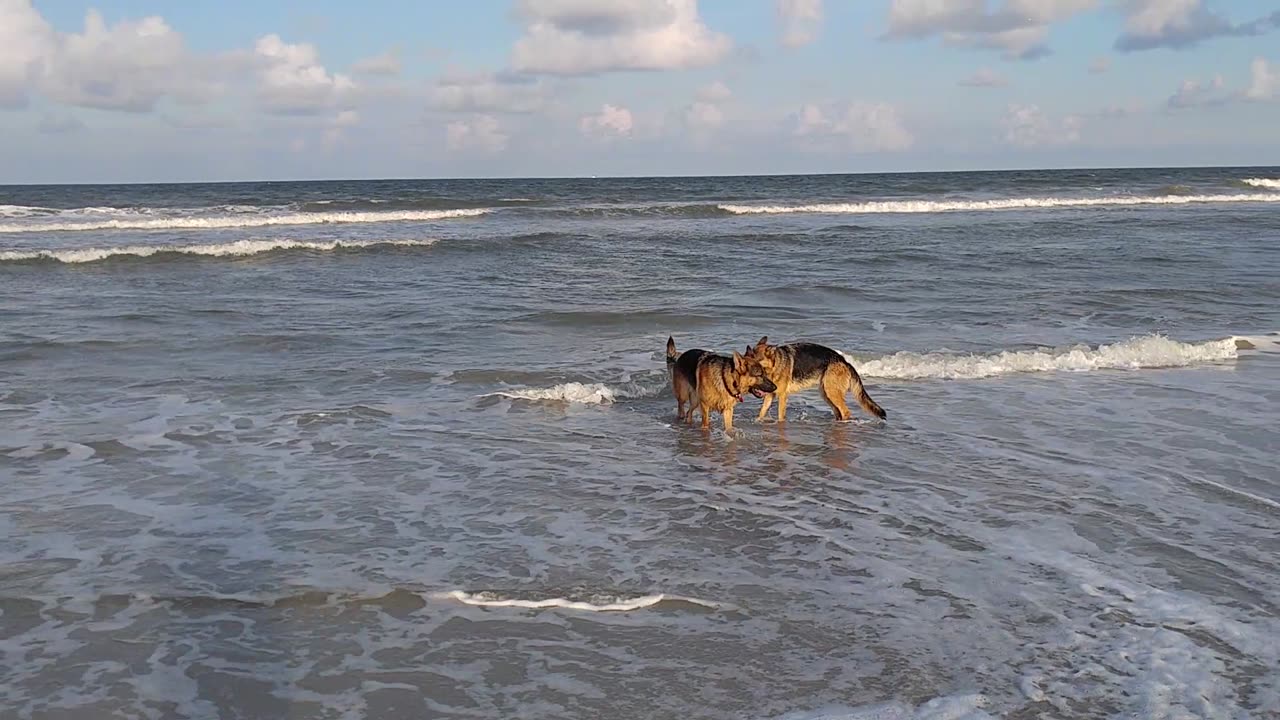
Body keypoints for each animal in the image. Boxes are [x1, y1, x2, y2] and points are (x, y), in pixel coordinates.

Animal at [747, 335, 885, 420]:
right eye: (747, 355)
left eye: (754, 358)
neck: (776, 364)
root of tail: (844, 361)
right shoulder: (770, 395)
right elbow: (762, 412)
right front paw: (757, 421)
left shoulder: (782, 396)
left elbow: (781, 416)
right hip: (827, 394)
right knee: (838, 412)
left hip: (831, 392)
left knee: (845, 412)